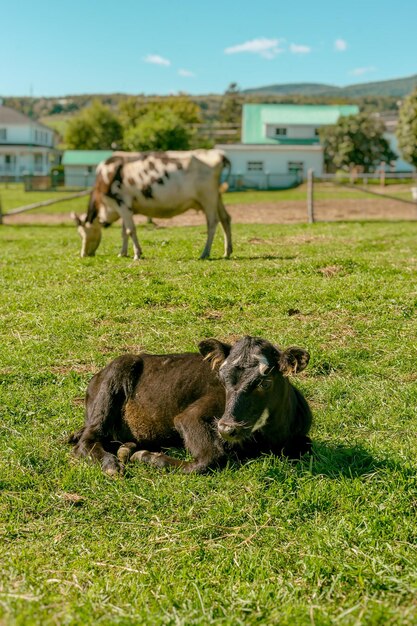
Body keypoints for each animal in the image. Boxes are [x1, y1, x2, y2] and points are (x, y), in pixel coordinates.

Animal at [68, 336, 310, 472]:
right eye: (221, 378)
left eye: (265, 382)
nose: (227, 428)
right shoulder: (190, 417)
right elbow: (210, 459)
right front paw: (148, 458)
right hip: (114, 377)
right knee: (87, 440)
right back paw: (111, 464)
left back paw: (127, 448)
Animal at [72, 149, 234, 258]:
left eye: (82, 233)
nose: (83, 254)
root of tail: (217, 153)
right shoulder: (126, 208)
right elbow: (124, 232)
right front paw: (123, 253)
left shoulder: (121, 203)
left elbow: (130, 230)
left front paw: (137, 254)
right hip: (216, 196)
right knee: (225, 218)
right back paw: (227, 251)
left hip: (208, 198)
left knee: (212, 223)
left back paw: (205, 253)